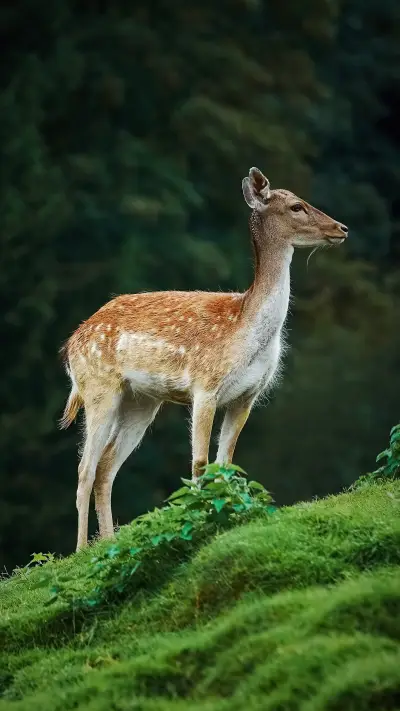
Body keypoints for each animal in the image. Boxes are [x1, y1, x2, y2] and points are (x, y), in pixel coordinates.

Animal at [60, 167, 348, 549]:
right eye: (297, 206)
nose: (341, 228)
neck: (244, 330)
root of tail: (70, 344)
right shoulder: (205, 385)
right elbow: (199, 461)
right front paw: (197, 519)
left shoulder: (247, 396)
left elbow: (225, 461)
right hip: (98, 388)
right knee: (85, 469)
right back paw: (81, 550)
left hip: (141, 400)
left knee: (106, 466)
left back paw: (109, 542)